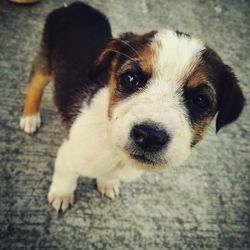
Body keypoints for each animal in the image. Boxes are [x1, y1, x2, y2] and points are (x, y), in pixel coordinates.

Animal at [19, 2, 244, 213]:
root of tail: (74, 5)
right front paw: (61, 196)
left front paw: (107, 183)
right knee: (33, 87)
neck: (114, 150)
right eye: (130, 79)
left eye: (200, 100)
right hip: (44, 64)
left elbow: (107, 176)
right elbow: (66, 179)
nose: (149, 136)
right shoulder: (68, 155)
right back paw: (30, 118)